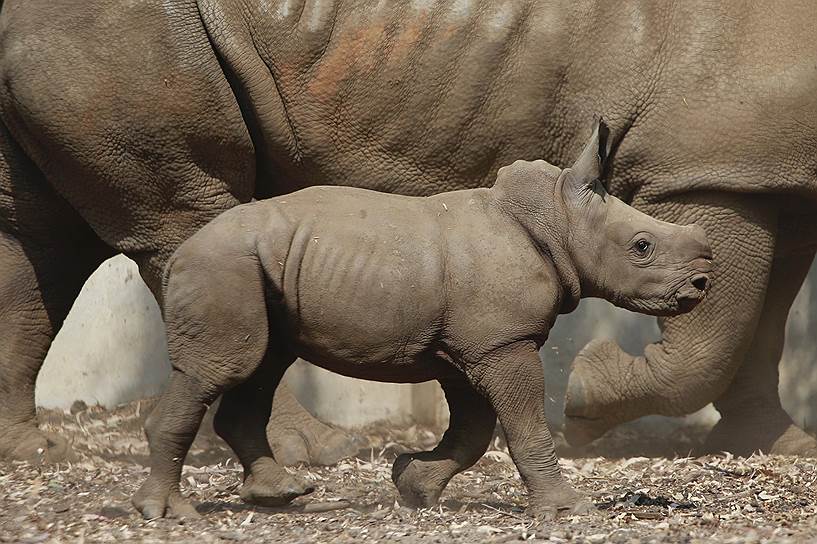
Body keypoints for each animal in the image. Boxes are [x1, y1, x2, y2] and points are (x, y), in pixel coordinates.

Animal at [0, 0, 812, 464]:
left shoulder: (773, 172)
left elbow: (762, 319)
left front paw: (774, 444)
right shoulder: (709, 161)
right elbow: (716, 329)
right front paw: (583, 404)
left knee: (34, 243)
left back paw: (33, 456)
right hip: (127, 35)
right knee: (187, 223)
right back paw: (318, 452)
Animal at [132, 119, 708, 520]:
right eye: (642, 246)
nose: (702, 283)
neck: (558, 218)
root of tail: (181, 252)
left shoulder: (471, 347)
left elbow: (474, 430)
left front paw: (413, 485)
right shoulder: (502, 342)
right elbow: (523, 425)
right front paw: (569, 510)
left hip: (259, 266)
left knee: (264, 365)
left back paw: (282, 494)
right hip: (222, 265)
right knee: (225, 367)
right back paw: (169, 514)